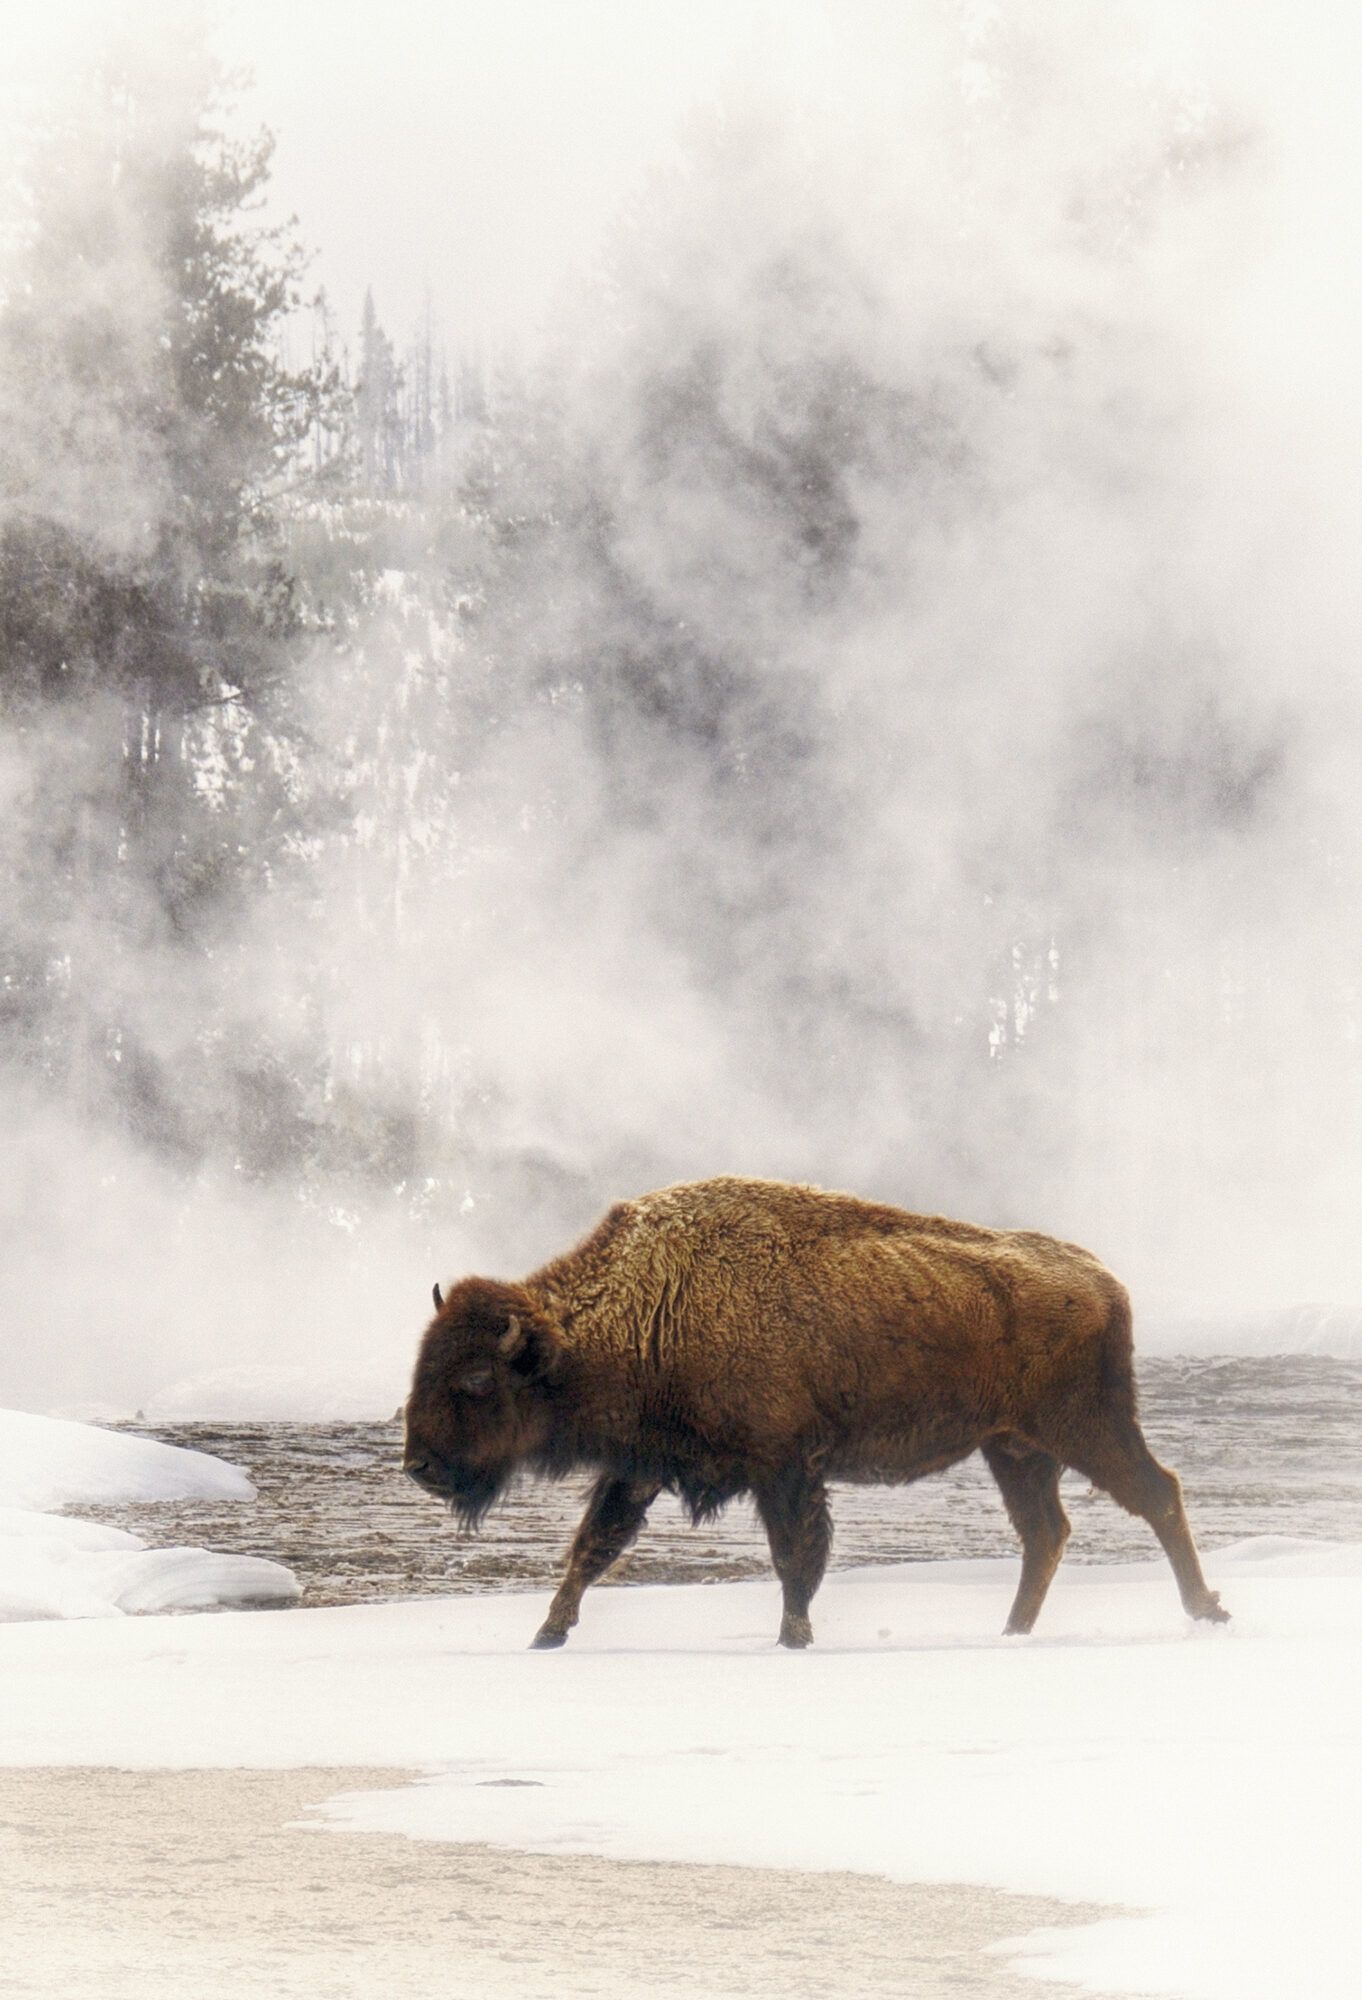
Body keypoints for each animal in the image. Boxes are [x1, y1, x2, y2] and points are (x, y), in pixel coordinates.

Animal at [402, 1168, 1224, 1640]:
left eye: (476, 1382)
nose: (420, 1467)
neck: (656, 1301)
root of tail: (1102, 1277)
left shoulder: (786, 1466)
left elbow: (794, 1556)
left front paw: (793, 1637)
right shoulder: (641, 1466)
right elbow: (591, 1548)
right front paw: (546, 1634)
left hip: (1085, 1427)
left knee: (1156, 1494)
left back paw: (1206, 1609)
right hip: (1014, 1448)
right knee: (1044, 1531)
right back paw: (1012, 1631)